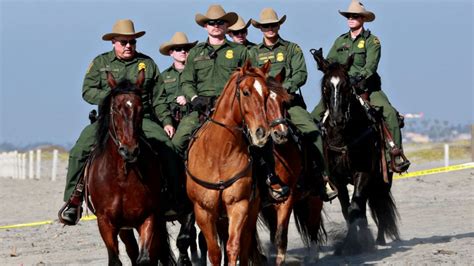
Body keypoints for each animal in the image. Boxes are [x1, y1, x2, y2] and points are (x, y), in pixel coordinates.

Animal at [86, 70, 173, 266]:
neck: (122, 177)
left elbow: (146, 258)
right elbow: (115, 259)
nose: (130, 150)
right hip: (124, 228)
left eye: (141, 109)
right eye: (116, 108)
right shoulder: (105, 222)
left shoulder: (149, 217)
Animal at [187, 61, 272, 264]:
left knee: (245, 243)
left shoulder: (238, 205)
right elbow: (214, 252)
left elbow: (234, 248)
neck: (220, 153)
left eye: (267, 93)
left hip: (250, 211)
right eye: (246, 92)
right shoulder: (204, 211)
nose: (262, 133)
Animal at [260, 74, 326, 264]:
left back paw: (313, 256)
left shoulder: (287, 198)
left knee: (313, 225)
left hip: (314, 196)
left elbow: (281, 235)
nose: (281, 134)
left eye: (284, 102)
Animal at [312, 48, 400, 255]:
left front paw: (351, 244)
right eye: (326, 87)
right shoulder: (337, 179)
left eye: (346, 86)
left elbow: (354, 209)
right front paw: (353, 243)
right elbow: (348, 210)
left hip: (382, 180)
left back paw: (379, 239)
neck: (343, 137)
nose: (337, 118)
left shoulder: (363, 173)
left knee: (379, 205)